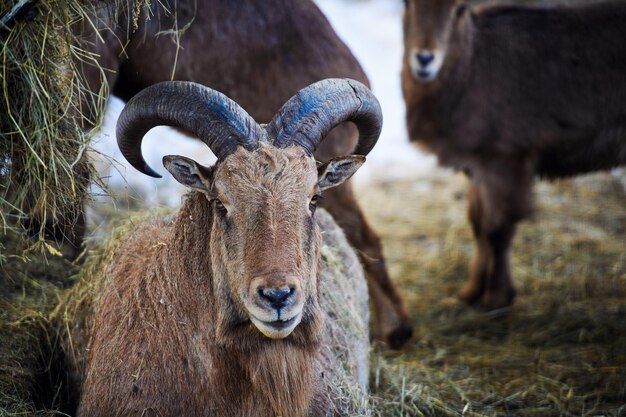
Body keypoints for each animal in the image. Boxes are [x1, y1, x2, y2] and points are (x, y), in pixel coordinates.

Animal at [400, 0, 624, 308]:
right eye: (407, 4)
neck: (471, 69)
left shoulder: (505, 158)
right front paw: (470, 291)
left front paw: (495, 297)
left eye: (459, 8)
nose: (424, 59)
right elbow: (478, 224)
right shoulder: (477, 168)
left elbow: (498, 228)